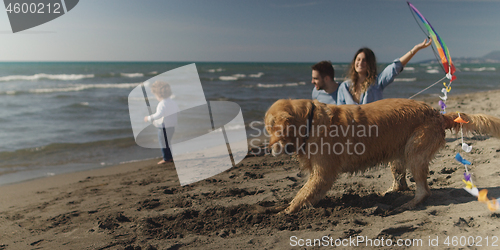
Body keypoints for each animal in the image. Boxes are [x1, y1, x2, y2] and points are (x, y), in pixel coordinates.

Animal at [264, 98, 500, 214]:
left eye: (273, 128)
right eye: (267, 129)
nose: (268, 150)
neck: (311, 121)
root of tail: (438, 114)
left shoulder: (323, 173)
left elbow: (302, 194)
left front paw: (285, 212)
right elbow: (304, 194)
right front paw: (280, 207)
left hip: (415, 150)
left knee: (424, 190)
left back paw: (407, 205)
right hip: (397, 154)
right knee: (401, 181)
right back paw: (391, 193)